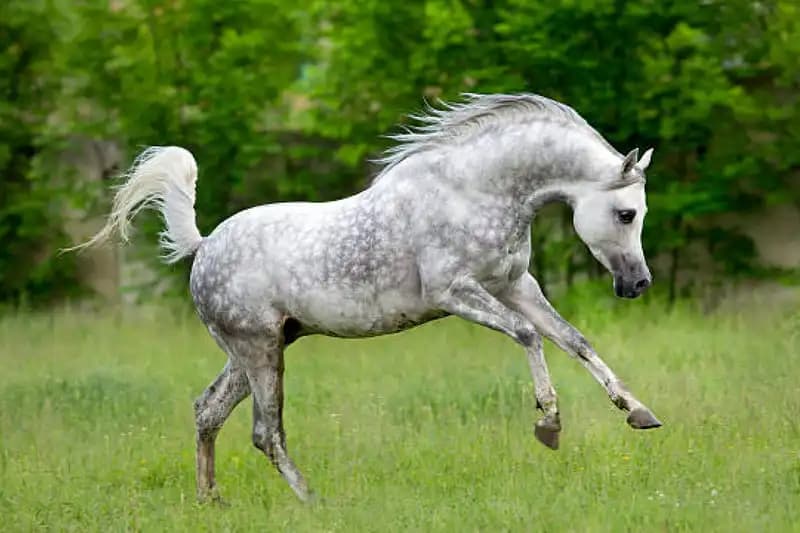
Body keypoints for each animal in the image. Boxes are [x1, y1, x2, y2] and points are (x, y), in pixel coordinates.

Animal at [75, 93, 661, 503]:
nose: (638, 284)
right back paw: (312, 502)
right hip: (260, 352)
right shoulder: (457, 293)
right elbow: (529, 336)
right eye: (626, 213)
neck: (475, 191)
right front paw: (549, 425)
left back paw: (210, 500)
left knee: (207, 412)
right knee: (267, 433)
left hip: (258, 350)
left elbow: (574, 340)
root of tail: (202, 246)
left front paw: (639, 412)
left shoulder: (515, 286)